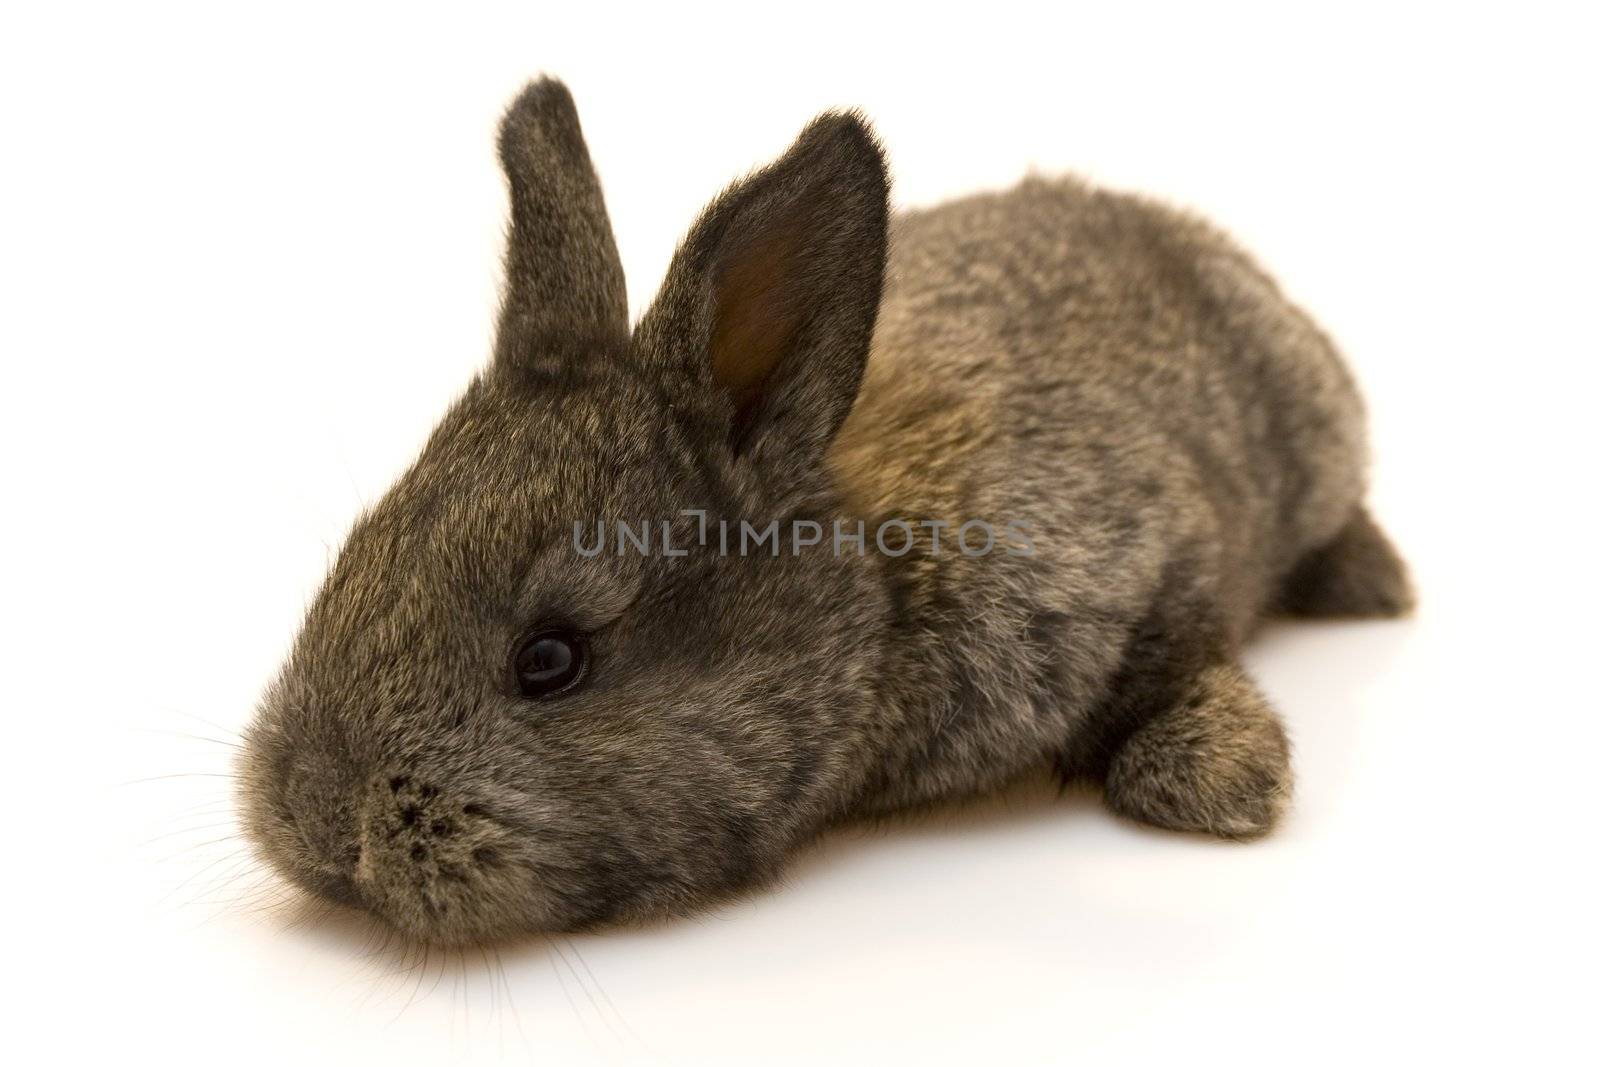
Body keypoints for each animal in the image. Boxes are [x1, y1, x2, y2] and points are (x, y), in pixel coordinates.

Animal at [240, 77, 1414, 940]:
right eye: (355, 554)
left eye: (551, 660)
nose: (315, 822)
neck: (880, 602)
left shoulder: (1155, 560)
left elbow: (1184, 653)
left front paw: (1225, 781)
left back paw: (1374, 584)